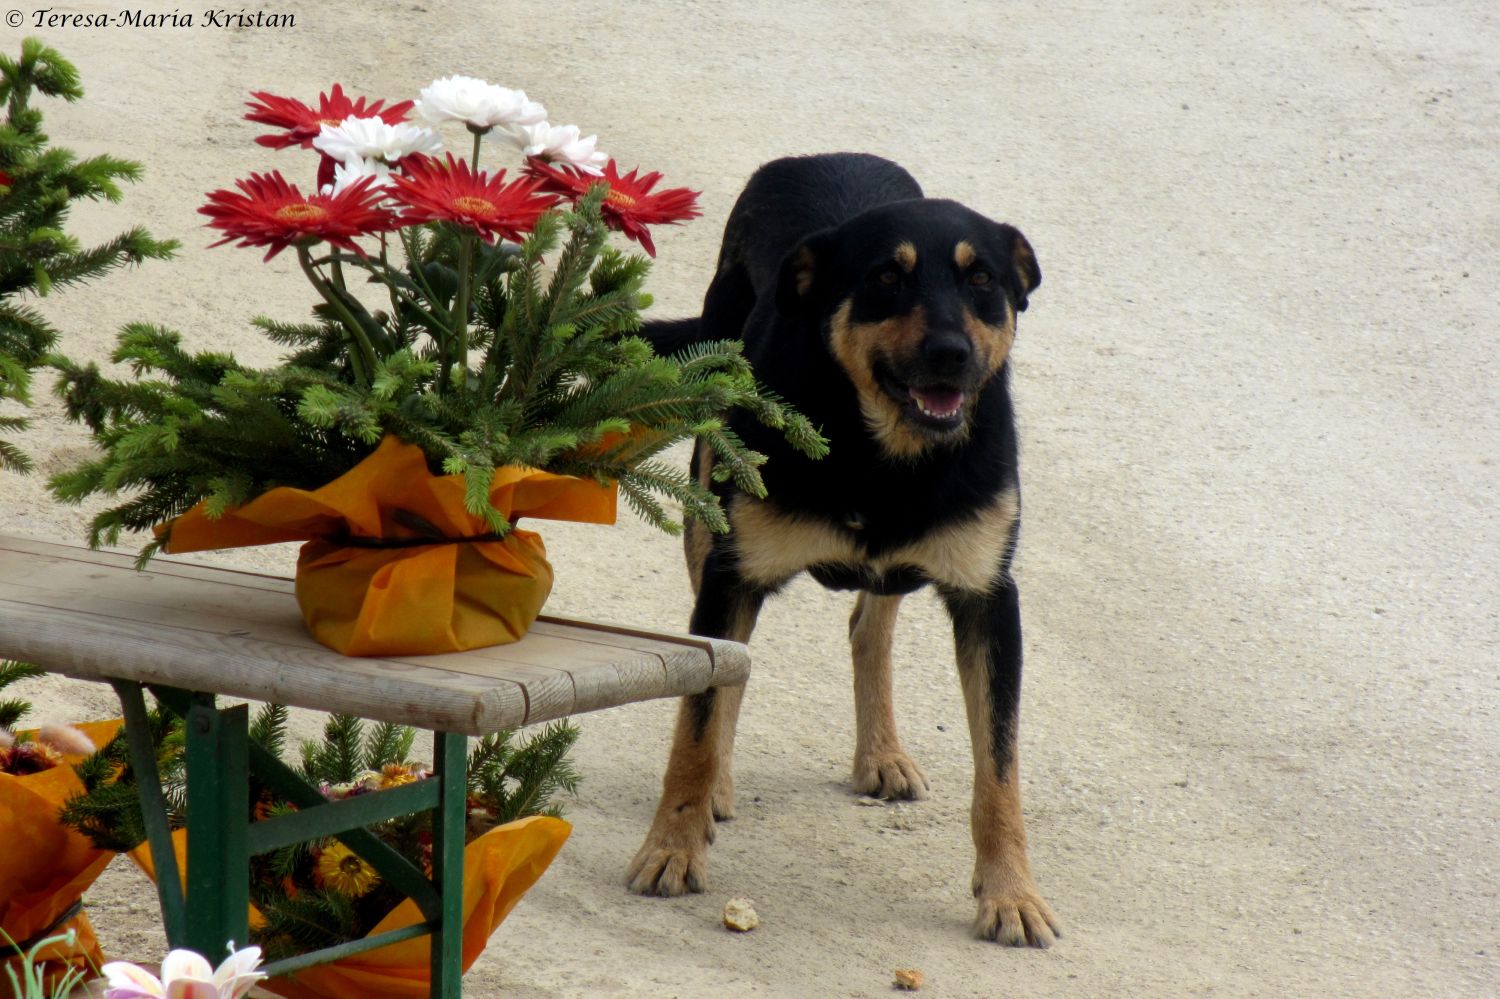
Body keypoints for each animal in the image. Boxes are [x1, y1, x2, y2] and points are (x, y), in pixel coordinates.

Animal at [627, 151, 1062, 948]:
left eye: (982, 280)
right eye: (886, 278)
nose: (951, 354)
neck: (886, 453)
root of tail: (816, 159)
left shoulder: (989, 598)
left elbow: (999, 767)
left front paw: (1011, 893)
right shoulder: (733, 574)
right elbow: (698, 724)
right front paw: (671, 847)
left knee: (869, 626)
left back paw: (881, 752)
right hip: (710, 501)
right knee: (729, 669)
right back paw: (719, 788)